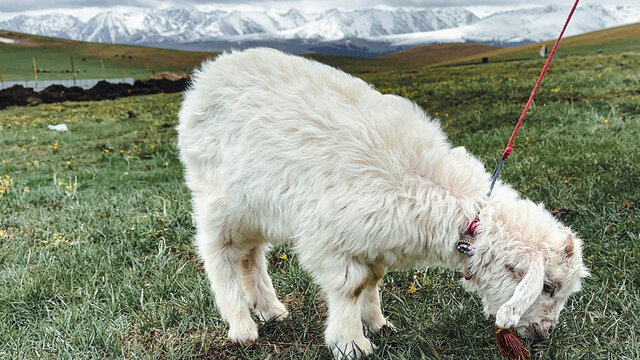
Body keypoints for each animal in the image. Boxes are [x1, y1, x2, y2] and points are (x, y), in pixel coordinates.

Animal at [178, 48, 588, 360]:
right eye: (547, 286)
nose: (545, 333)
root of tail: (210, 71)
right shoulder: (332, 240)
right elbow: (351, 287)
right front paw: (351, 343)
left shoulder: (372, 238)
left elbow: (372, 281)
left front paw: (377, 323)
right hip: (217, 198)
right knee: (220, 255)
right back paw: (241, 325)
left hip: (256, 207)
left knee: (251, 255)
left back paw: (270, 309)